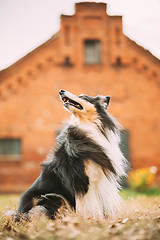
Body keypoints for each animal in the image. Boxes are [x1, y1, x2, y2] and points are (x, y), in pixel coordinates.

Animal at [15, 89, 127, 220]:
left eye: (83, 96)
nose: (61, 91)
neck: (87, 126)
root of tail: (18, 215)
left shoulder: (102, 181)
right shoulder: (83, 180)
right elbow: (93, 206)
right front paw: (96, 221)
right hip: (54, 197)